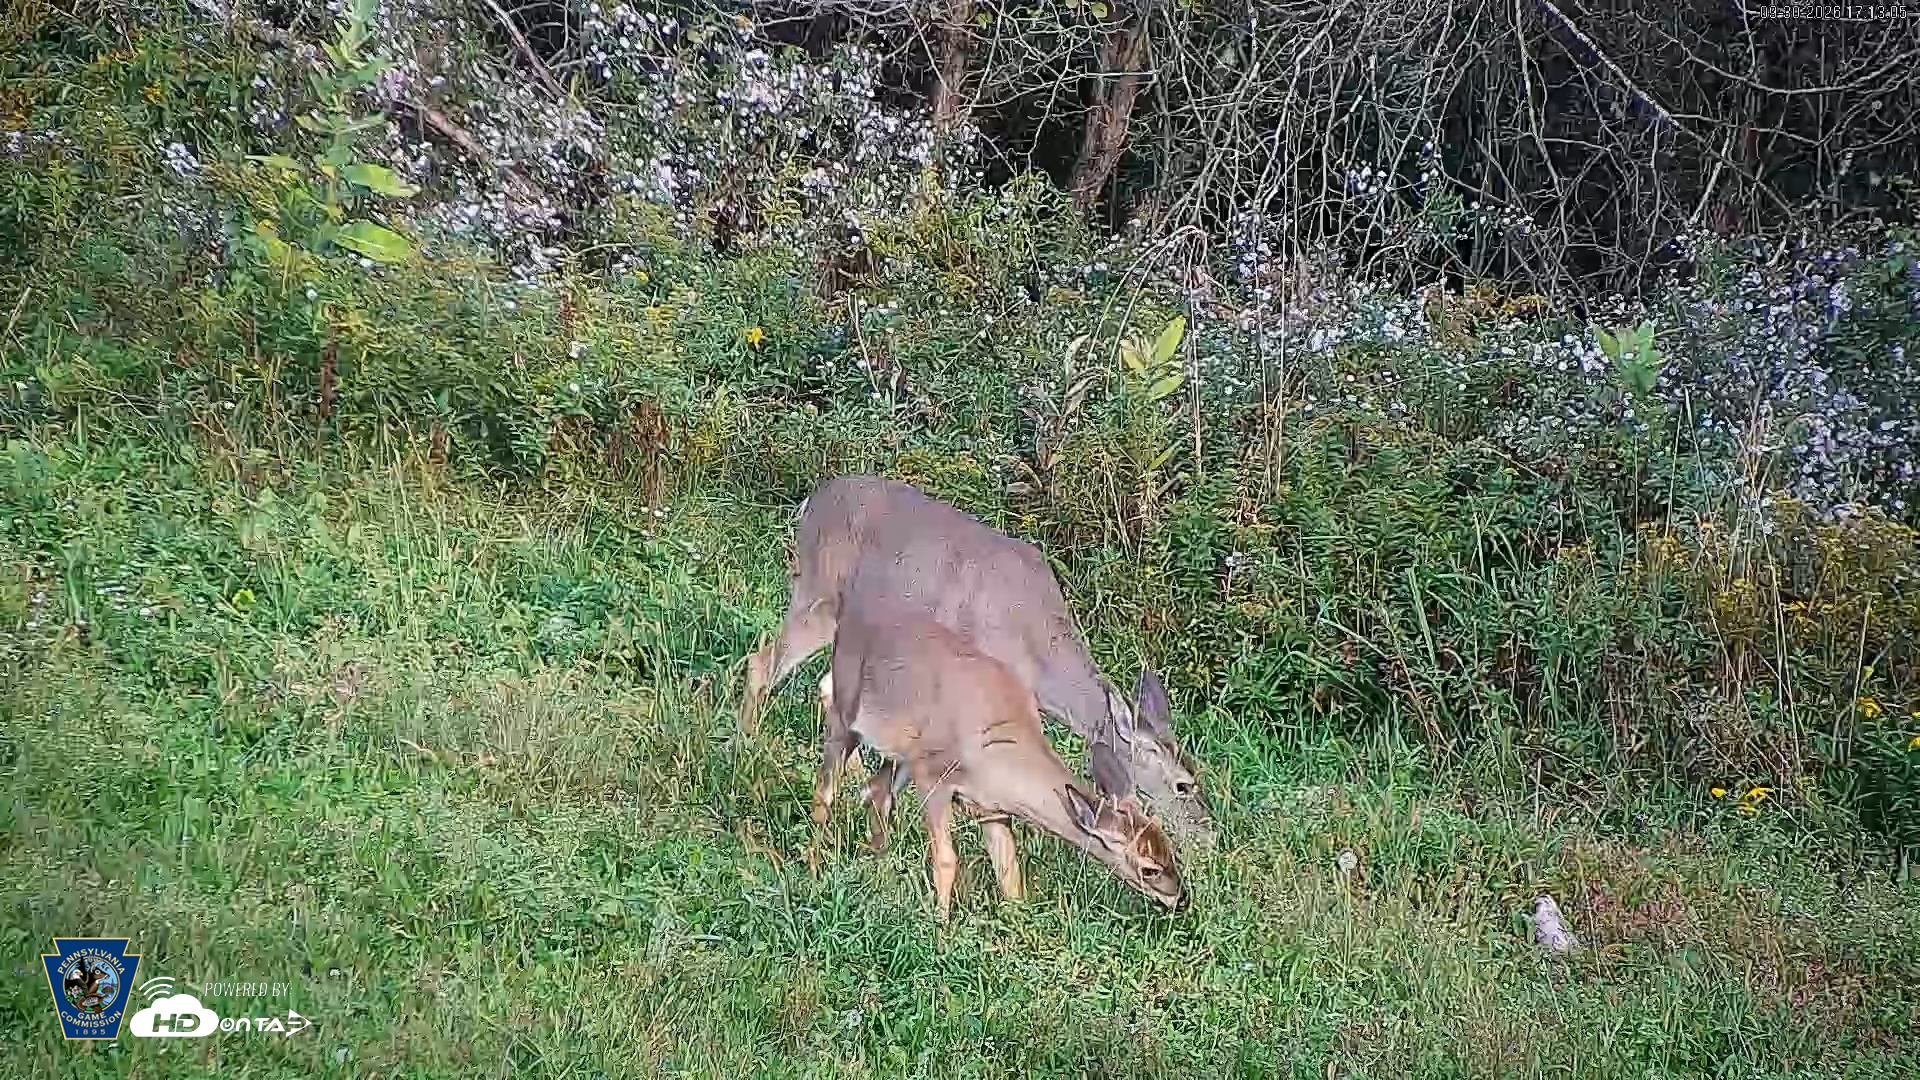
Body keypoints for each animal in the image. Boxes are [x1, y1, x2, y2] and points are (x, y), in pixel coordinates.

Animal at [741, 475, 1216, 847]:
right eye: (1183, 784)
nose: (1209, 834)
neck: (1035, 653)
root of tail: (808, 503)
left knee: (821, 685)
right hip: (818, 597)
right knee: (761, 663)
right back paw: (745, 746)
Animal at [811, 591, 1187, 920]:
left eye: (1170, 849)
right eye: (1149, 868)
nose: (1180, 899)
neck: (1000, 751)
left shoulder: (992, 807)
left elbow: (1010, 873)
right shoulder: (935, 779)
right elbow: (945, 860)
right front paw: (940, 931)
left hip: (901, 755)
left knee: (876, 792)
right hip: (846, 716)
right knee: (825, 790)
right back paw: (815, 868)